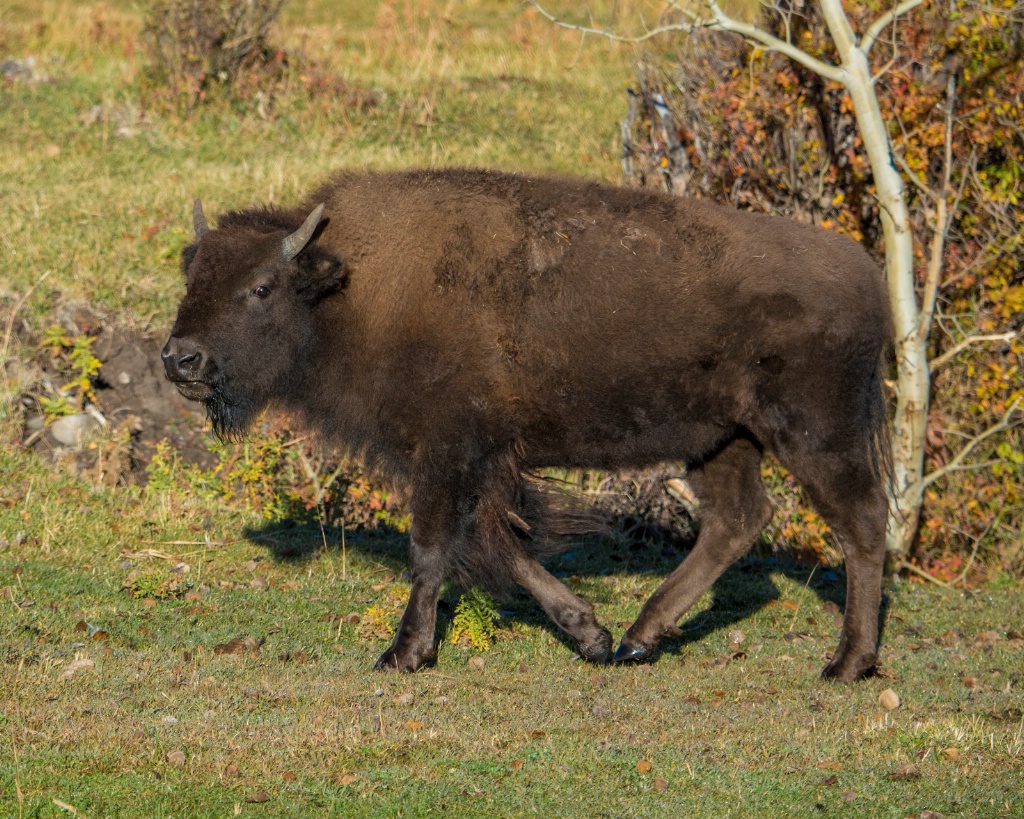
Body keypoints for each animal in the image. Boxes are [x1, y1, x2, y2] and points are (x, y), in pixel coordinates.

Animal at [163, 165, 892, 679]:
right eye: (192, 278)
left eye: (261, 288)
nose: (179, 358)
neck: (352, 287)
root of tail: (872, 277)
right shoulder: (476, 461)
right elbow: (500, 547)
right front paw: (589, 633)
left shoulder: (448, 450)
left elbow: (432, 547)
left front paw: (403, 654)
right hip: (721, 440)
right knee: (737, 521)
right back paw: (637, 641)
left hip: (815, 435)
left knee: (860, 523)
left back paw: (846, 663)